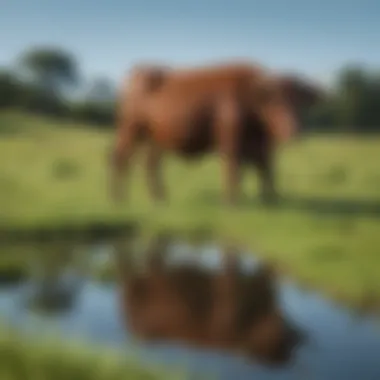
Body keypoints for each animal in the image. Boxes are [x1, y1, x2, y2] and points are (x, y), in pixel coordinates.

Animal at [109, 61, 320, 206]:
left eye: (298, 101)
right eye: (274, 101)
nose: (293, 130)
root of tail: (139, 71)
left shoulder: (261, 147)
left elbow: (266, 171)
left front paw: (270, 201)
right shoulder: (231, 142)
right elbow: (233, 170)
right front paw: (232, 203)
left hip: (156, 138)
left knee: (151, 164)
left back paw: (160, 199)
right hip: (130, 129)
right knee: (120, 158)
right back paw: (119, 199)